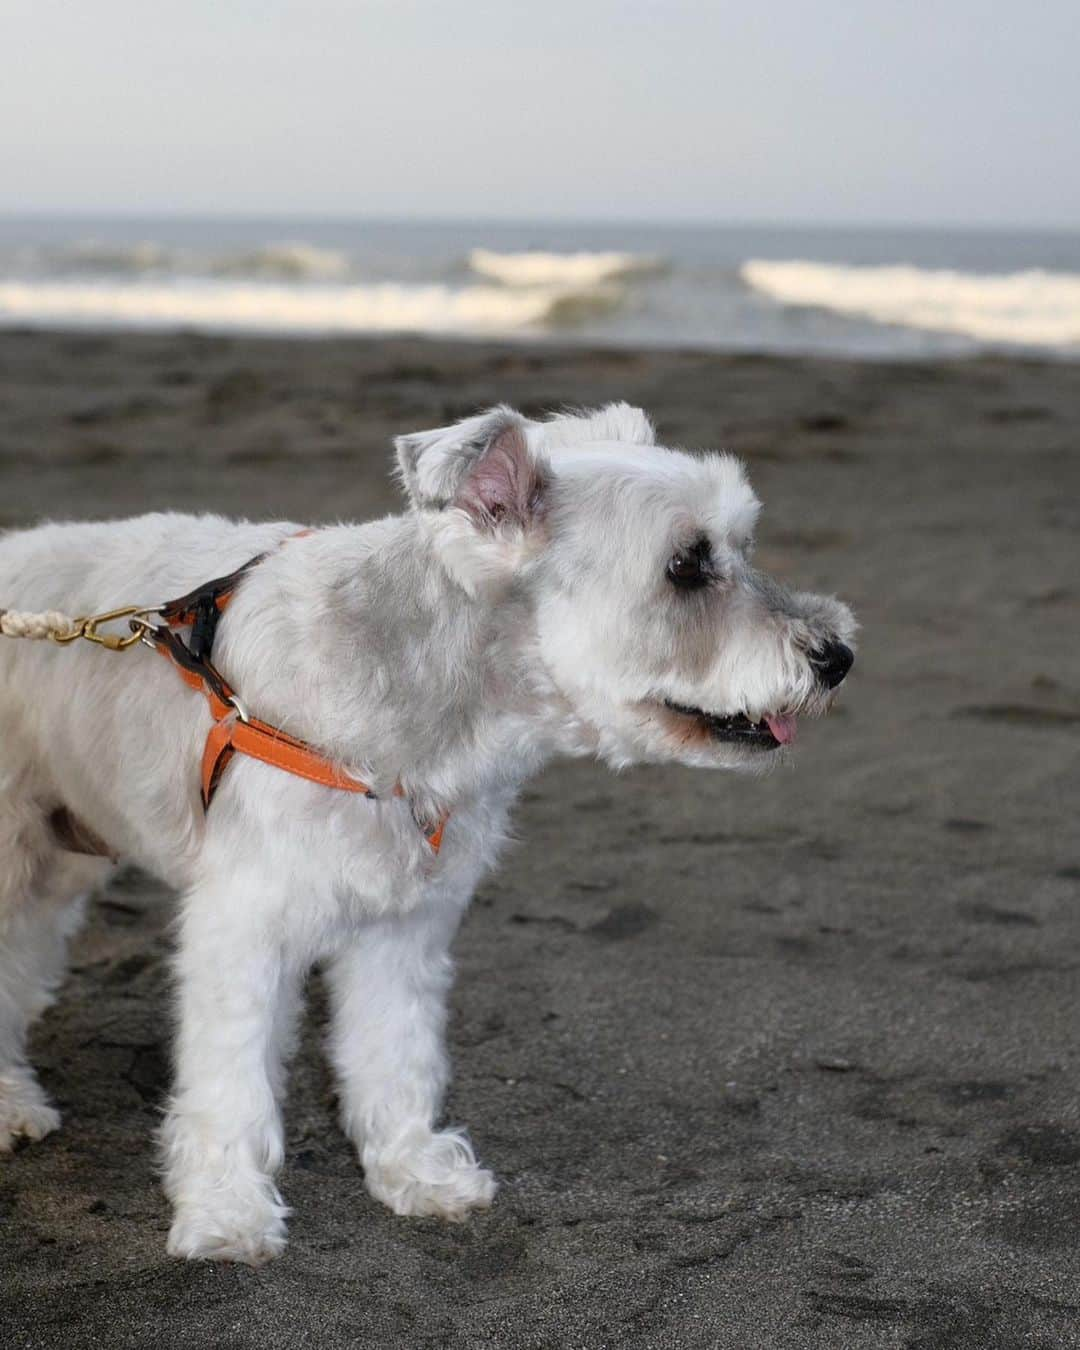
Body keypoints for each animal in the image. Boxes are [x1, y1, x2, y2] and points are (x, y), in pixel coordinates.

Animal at [2, 402, 853, 1263]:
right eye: (685, 566)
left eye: (741, 545)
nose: (838, 656)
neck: (427, 698)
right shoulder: (244, 929)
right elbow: (230, 1082)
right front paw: (226, 1211)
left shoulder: (404, 925)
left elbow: (393, 1051)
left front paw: (412, 1170)